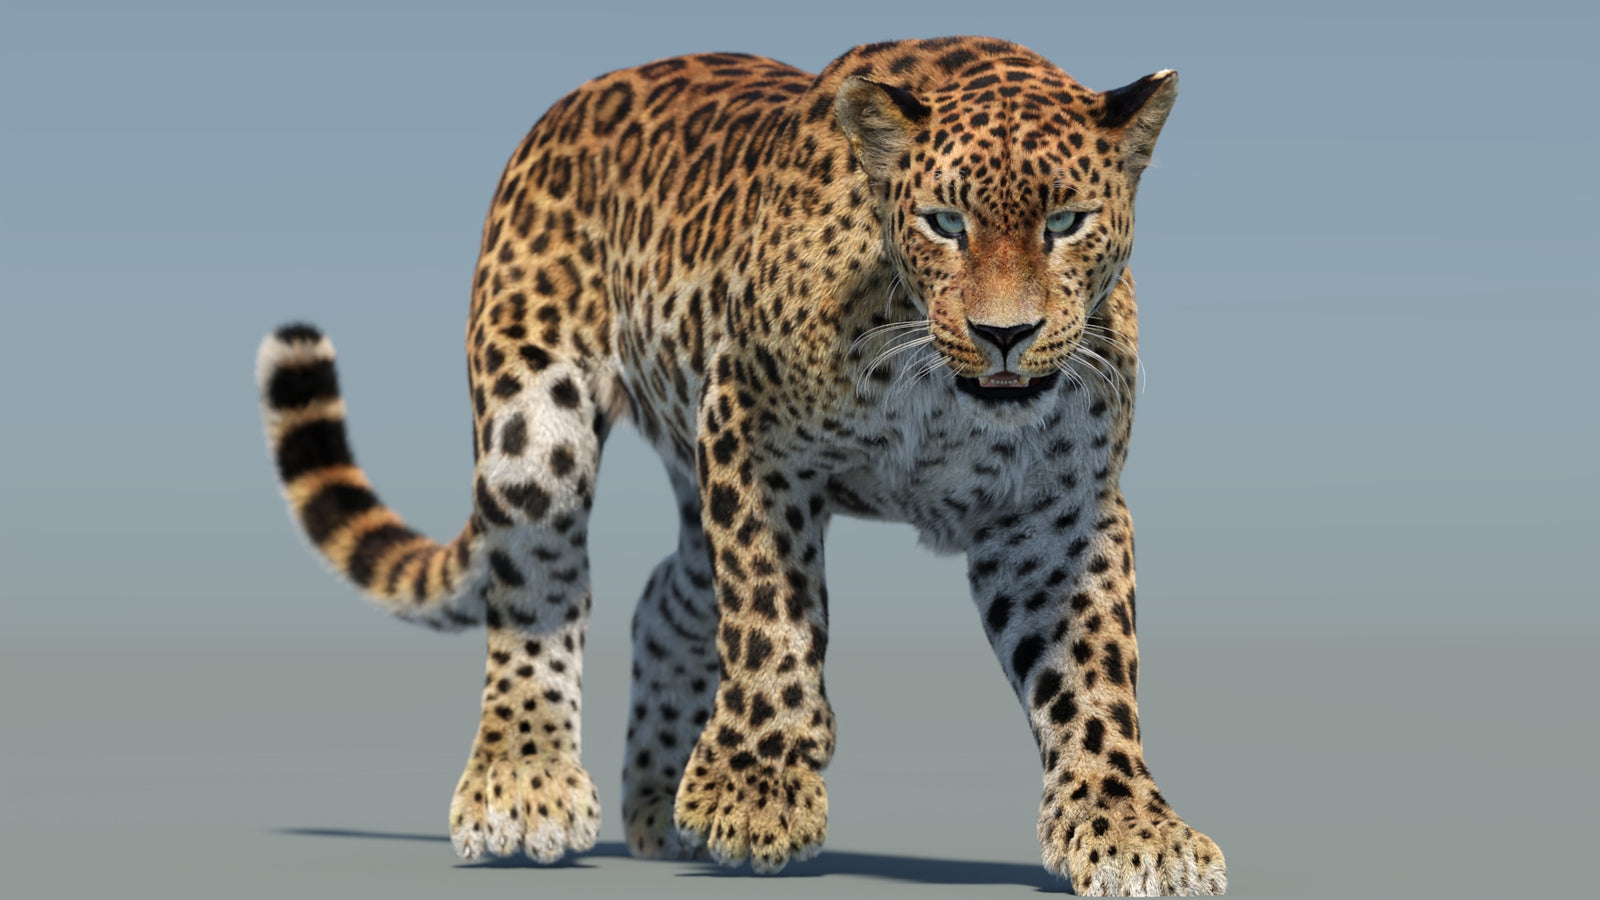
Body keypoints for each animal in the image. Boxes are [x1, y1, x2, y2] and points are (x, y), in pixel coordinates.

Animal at [255, 36, 1225, 896]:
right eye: (945, 223)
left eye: (1066, 223)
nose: (1004, 335)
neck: (935, 388)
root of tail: (570, 104)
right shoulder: (753, 440)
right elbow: (770, 617)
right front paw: (754, 794)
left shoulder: (1058, 512)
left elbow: (1092, 672)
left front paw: (1130, 829)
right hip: (536, 425)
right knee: (538, 590)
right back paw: (523, 786)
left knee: (664, 597)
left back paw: (656, 806)